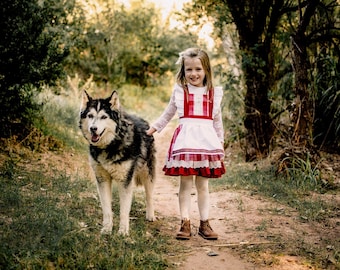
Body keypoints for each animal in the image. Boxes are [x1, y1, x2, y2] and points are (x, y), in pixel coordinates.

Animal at [79, 90, 156, 234]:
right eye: (90, 115)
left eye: (104, 117)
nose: (93, 128)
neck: (111, 145)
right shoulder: (102, 180)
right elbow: (107, 209)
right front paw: (107, 229)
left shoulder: (125, 181)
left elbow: (124, 211)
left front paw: (123, 232)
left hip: (147, 174)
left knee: (149, 196)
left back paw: (150, 215)